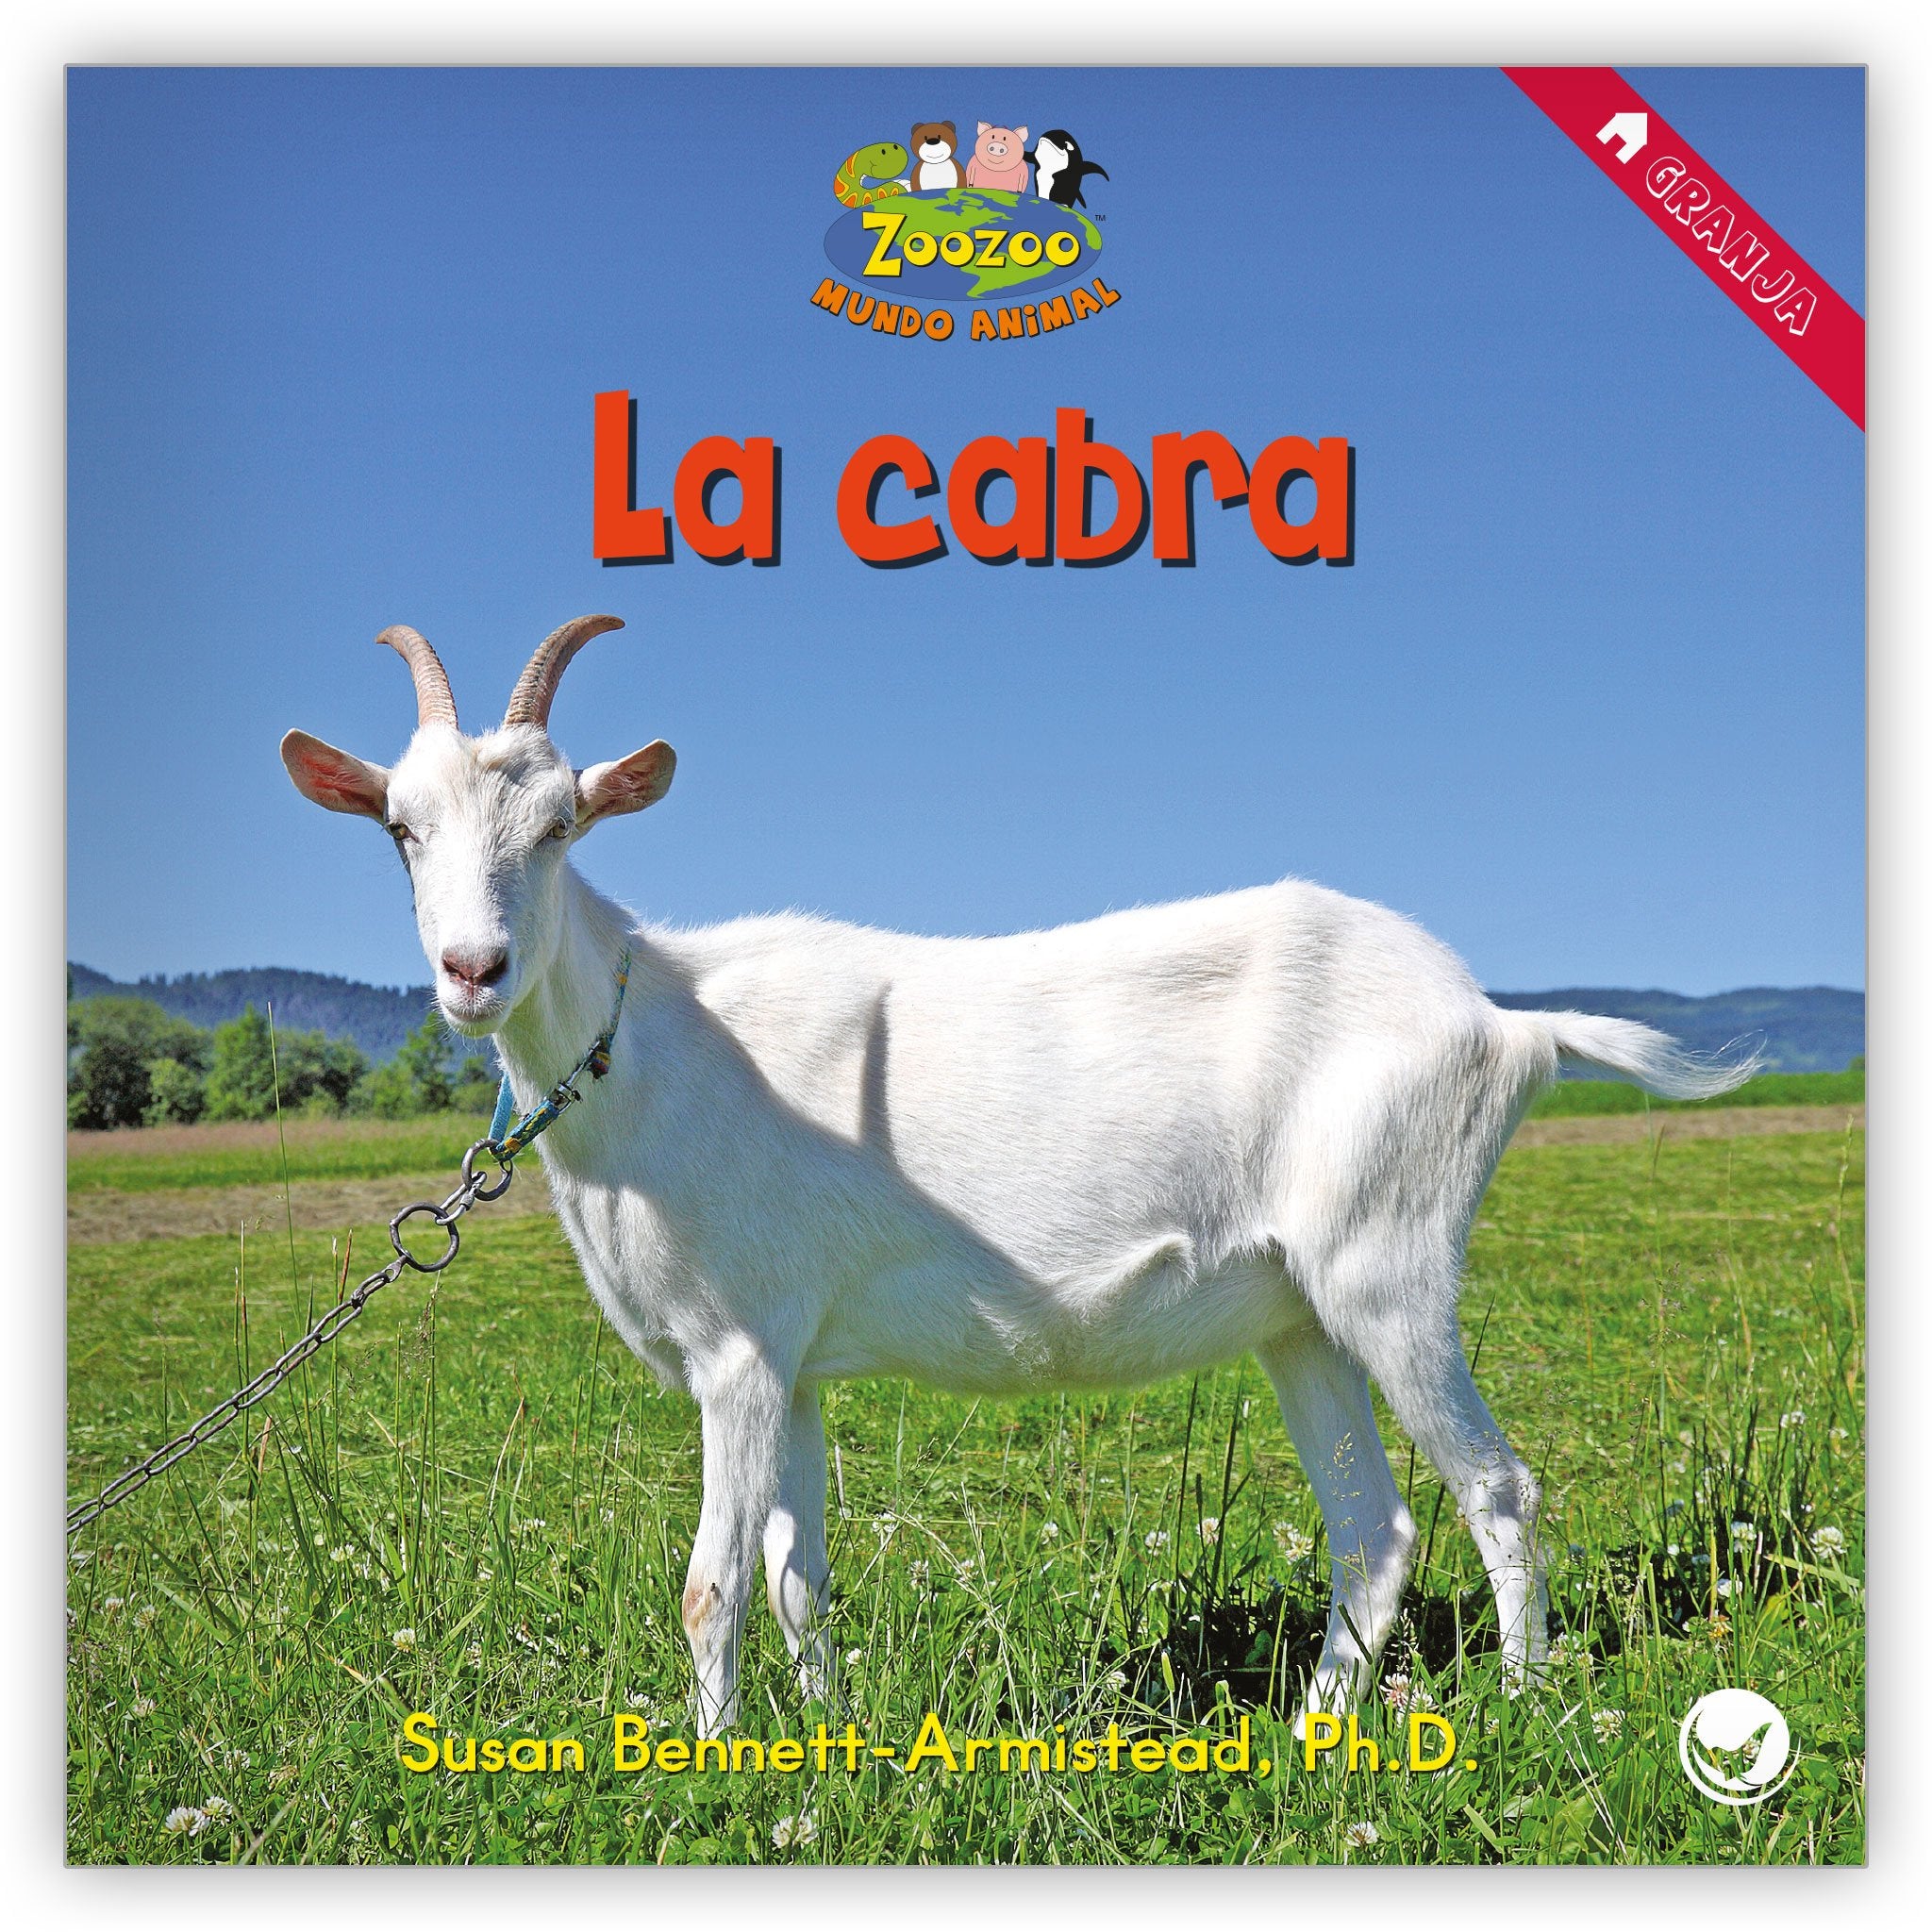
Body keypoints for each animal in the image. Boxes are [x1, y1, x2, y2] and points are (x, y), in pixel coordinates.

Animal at [282, 615, 1754, 1732]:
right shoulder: (798, 1363)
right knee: (1374, 1528)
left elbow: (710, 1586)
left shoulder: (738, 1354)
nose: (473, 970)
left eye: (561, 824)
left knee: (1497, 1489)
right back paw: (1314, 1727)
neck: (651, 1041)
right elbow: (797, 1578)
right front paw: (828, 1738)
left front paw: (708, 1767)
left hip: (1389, 1264)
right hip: (1298, 1312)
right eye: (400, 828)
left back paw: (1525, 1704)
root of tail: (1502, 1022)